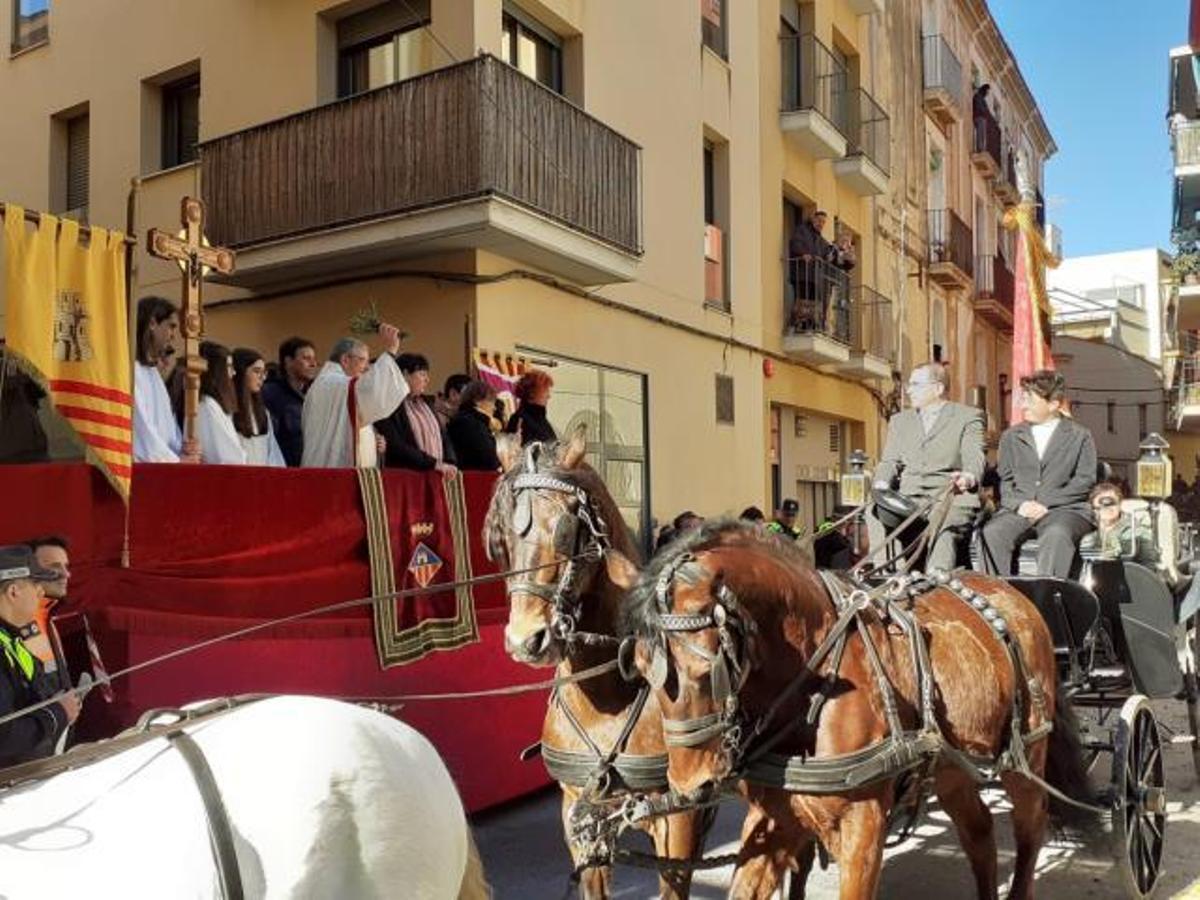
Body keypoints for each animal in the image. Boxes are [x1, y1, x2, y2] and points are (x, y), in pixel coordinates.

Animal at [482, 434, 710, 897]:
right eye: (502, 538)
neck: (609, 693)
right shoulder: (580, 813)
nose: (525, 640)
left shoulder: (678, 818)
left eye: (567, 531)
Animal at [624, 520, 1099, 900]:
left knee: (1030, 824)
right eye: (642, 670)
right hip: (952, 767)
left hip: (1025, 755)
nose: (690, 785)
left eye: (707, 670)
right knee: (979, 831)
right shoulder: (773, 819)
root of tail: (1016, 596)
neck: (814, 677)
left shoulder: (862, 827)